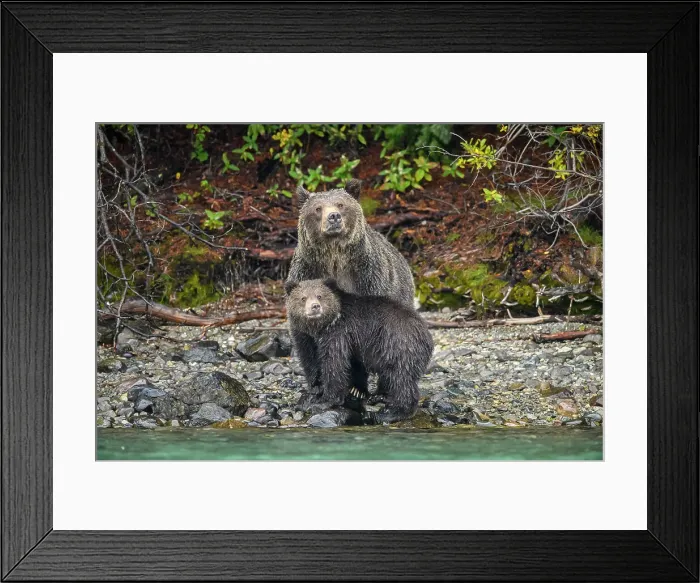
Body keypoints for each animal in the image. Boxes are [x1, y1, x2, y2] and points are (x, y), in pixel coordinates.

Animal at [285, 278, 434, 424]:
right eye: (303, 298)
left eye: (319, 296)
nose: (315, 306)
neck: (321, 327)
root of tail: (427, 334)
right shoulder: (306, 338)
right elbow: (310, 359)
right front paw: (315, 389)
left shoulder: (339, 333)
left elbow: (334, 363)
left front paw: (325, 401)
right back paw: (379, 397)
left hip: (398, 344)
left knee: (400, 378)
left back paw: (392, 413)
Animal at [286, 179, 415, 309]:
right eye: (318, 208)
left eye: (340, 204)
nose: (334, 216)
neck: (335, 256)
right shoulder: (307, 270)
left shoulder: (369, 276)